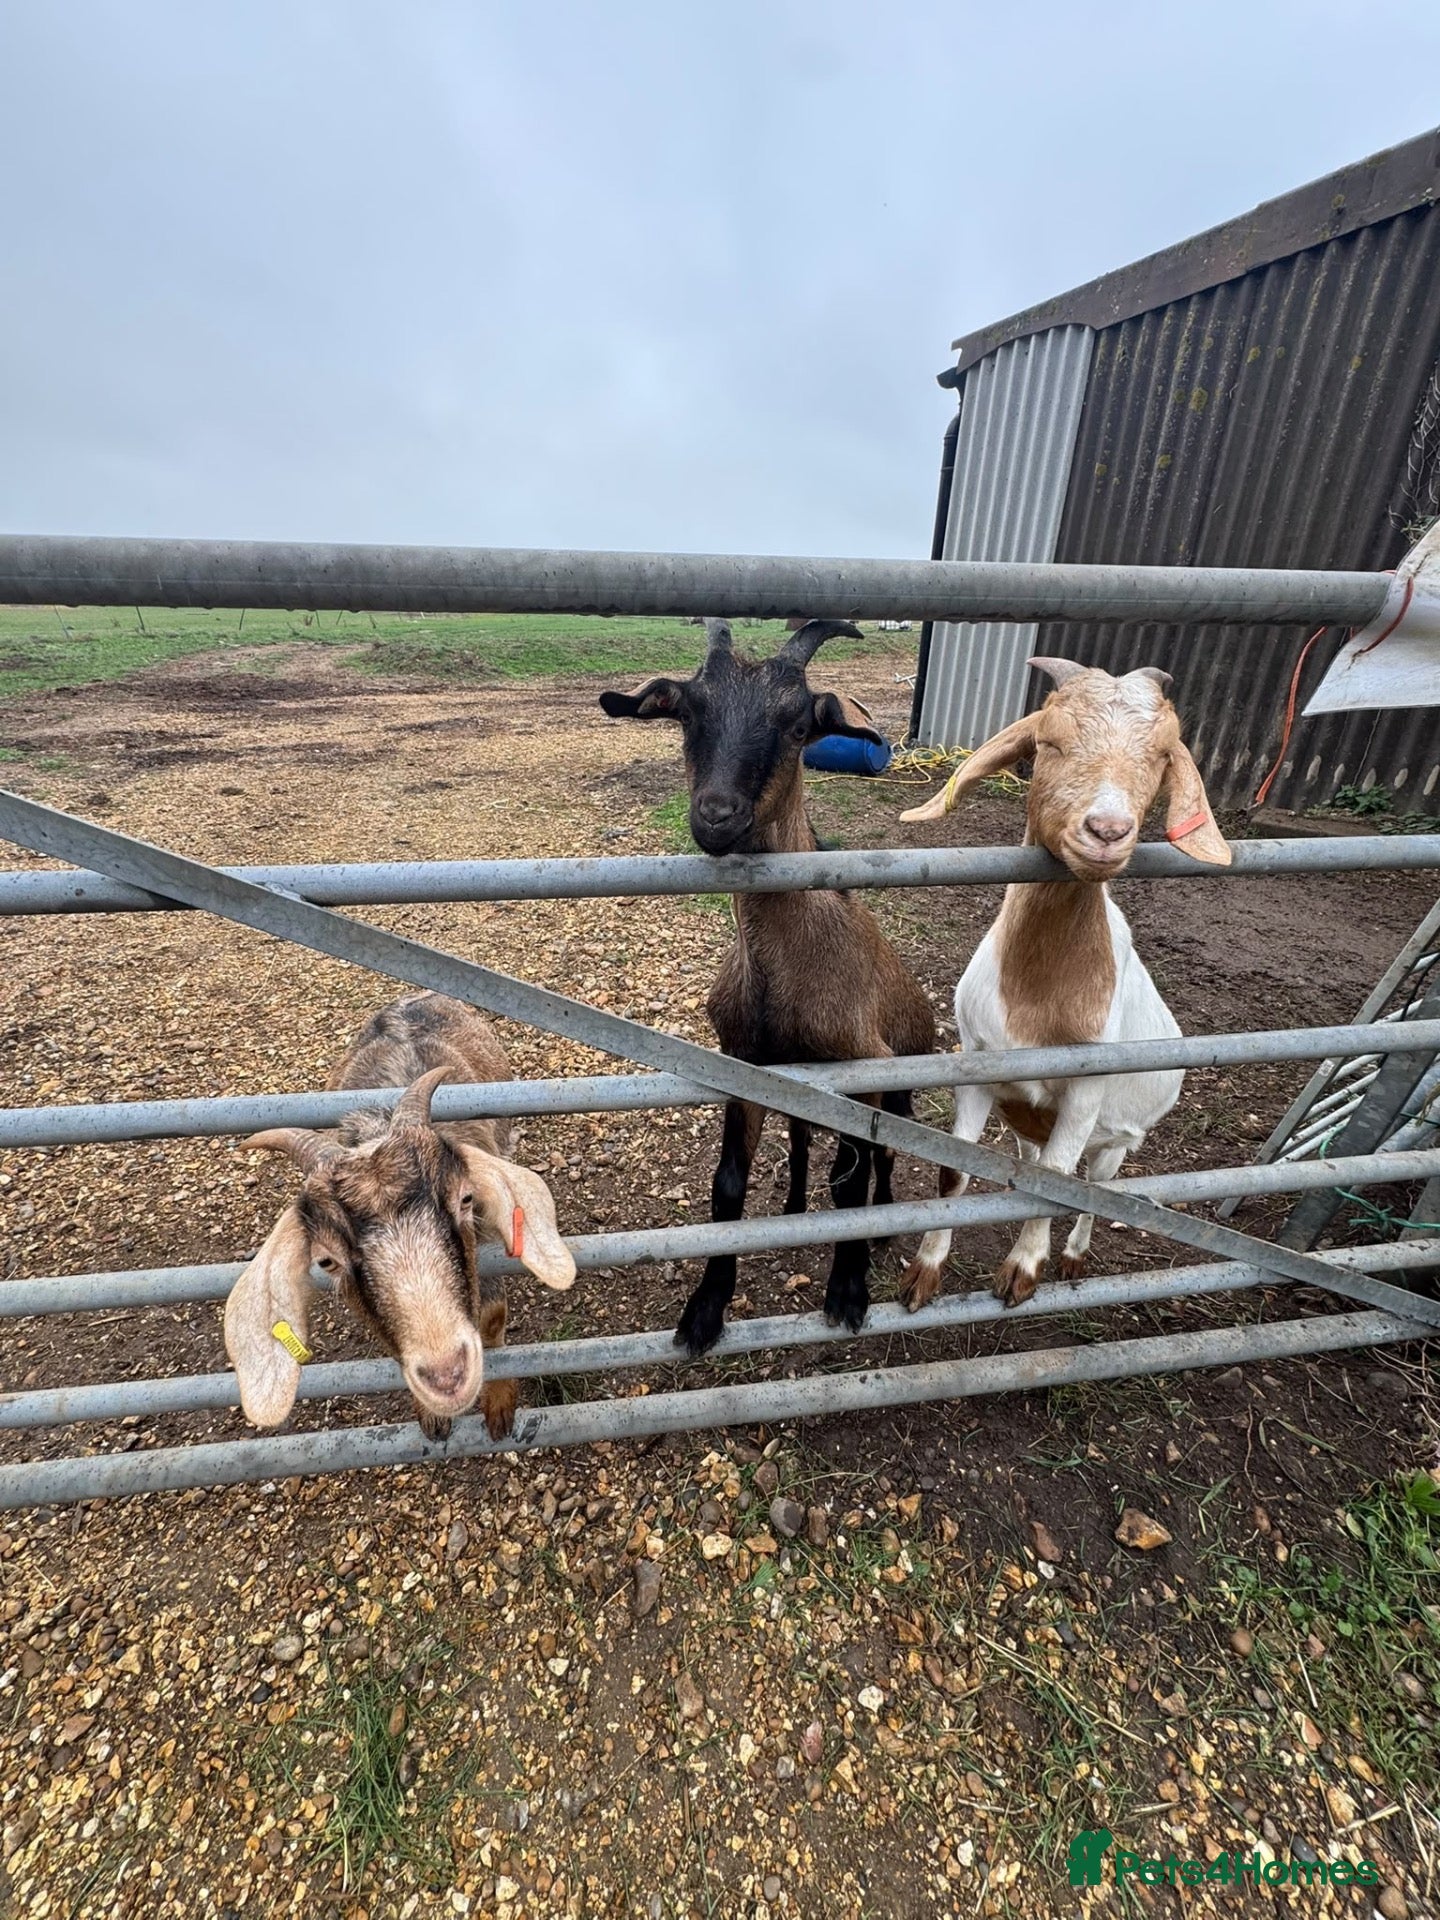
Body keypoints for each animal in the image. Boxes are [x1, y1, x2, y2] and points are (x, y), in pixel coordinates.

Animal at [224, 993, 576, 1440]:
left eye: (464, 1199)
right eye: (326, 1261)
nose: (447, 1375)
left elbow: (494, 1315)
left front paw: (499, 1405)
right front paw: (432, 1416)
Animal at [600, 618, 935, 1354]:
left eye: (797, 723)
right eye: (688, 712)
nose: (716, 815)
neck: (785, 975)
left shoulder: (860, 1068)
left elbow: (852, 1184)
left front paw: (849, 1291)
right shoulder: (745, 1066)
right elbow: (728, 1183)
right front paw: (706, 1307)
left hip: (903, 1076)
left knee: (887, 1155)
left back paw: (886, 1223)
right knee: (807, 1140)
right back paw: (792, 1206)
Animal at [896, 657, 1230, 1309]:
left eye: (1162, 755)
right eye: (1048, 741)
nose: (1107, 830)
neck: (1038, 997)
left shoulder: (1087, 1090)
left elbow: (1055, 1182)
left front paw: (1024, 1269)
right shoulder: (978, 1063)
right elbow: (954, 1171)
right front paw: (923, 1271)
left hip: (1117, 1143)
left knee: (1092, 1185)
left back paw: (1073, 1256)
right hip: (1025, 1116)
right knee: (1029, 1158)